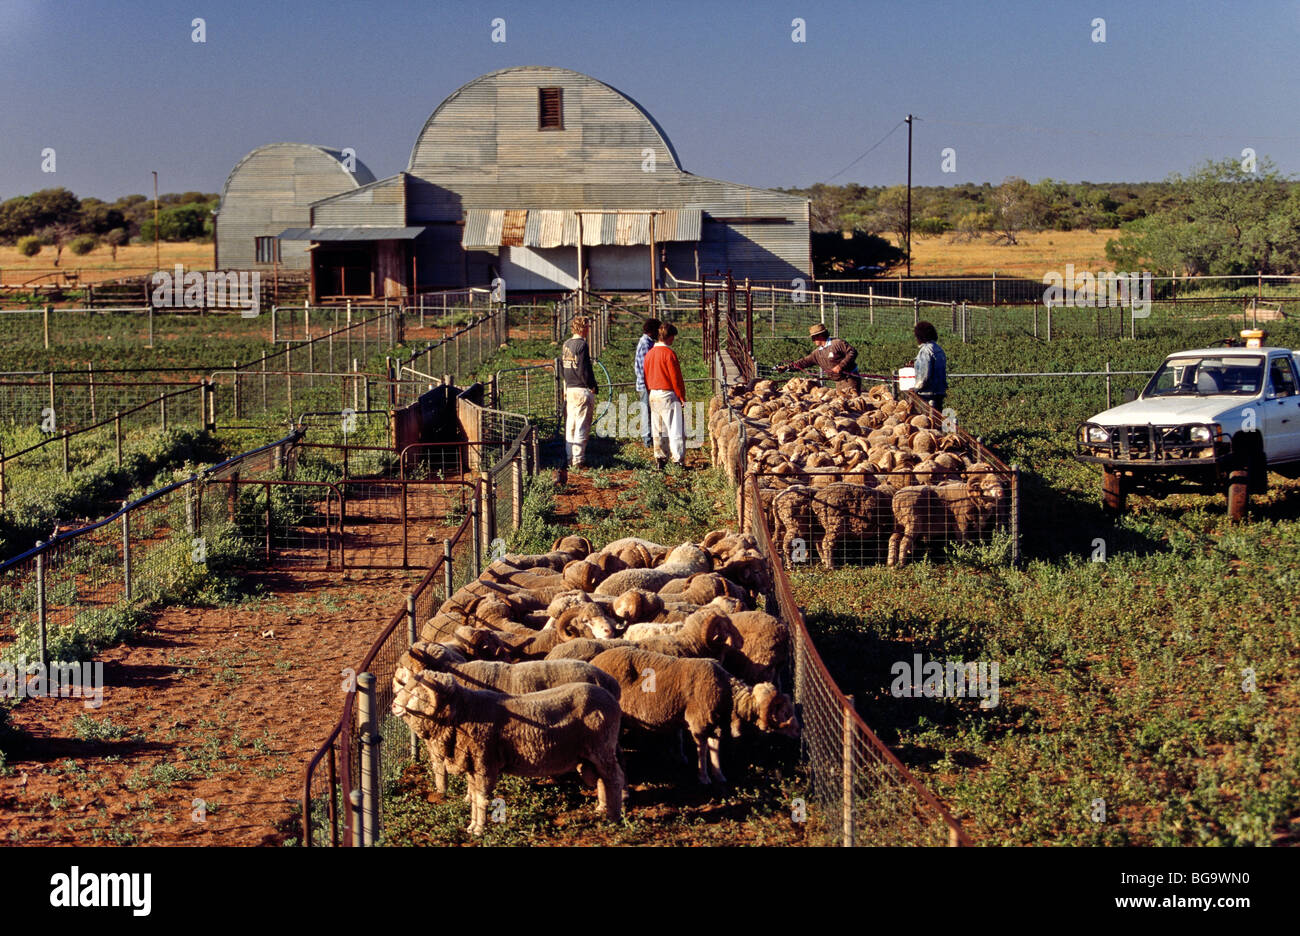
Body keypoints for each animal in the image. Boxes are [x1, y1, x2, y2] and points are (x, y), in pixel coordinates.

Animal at [392, 672, 624, 834]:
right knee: (603, 779)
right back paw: (602, 809)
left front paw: (479, 829)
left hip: (602, 747)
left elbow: (482, 798)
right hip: (590, 756)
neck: (466, 712)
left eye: (414, 693)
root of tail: (611, 698)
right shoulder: (473, 766)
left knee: (615, 778)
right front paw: (472, 827)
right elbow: (474, 797)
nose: (393, 706)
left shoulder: (485, 763)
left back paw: (614, 817)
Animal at [588, 647, 798, 784]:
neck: (726, 692)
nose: (797, 731)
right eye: (784, 712)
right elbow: (702, 749)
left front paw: (719, 775)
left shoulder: (714, 724)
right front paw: (703, 777)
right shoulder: (699, 723)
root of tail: (594, 662)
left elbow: (715, 748)